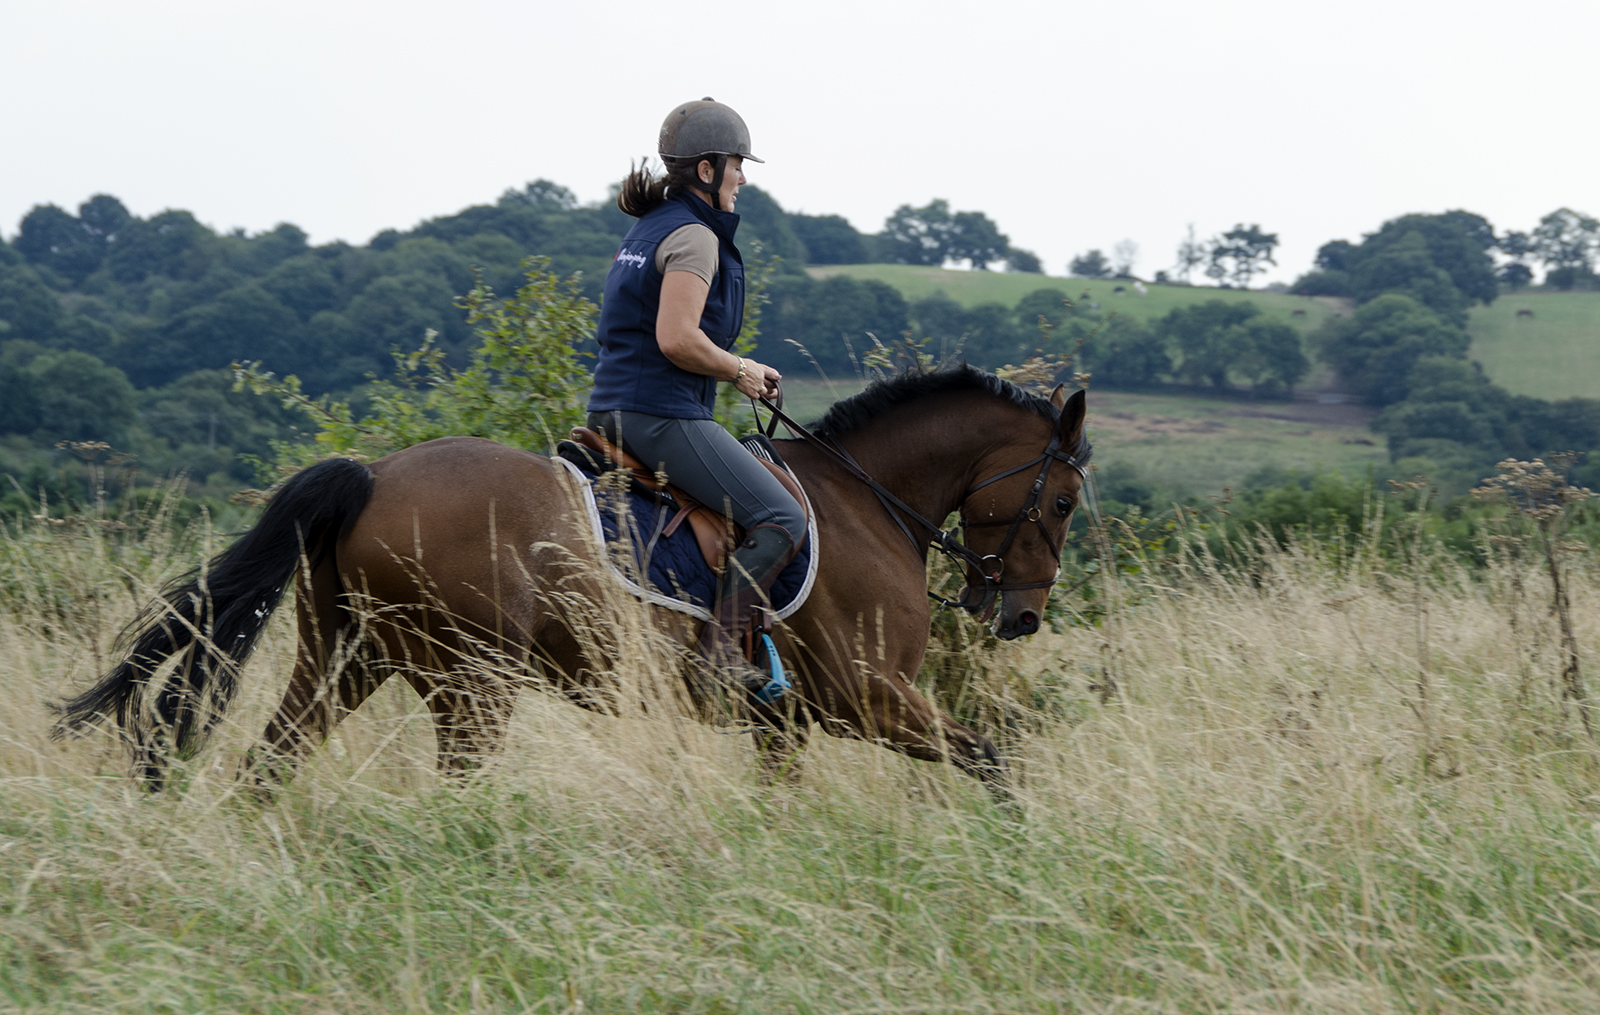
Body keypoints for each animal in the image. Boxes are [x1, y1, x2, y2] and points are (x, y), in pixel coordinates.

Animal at [56, 363, 1094, 797]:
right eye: (1062, 500)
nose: (1022, 617)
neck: (862, 499)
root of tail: (372, 477)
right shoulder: (872, 698)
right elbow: (994, 759)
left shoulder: (787, 724)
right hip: (471, 683)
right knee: (454, 791)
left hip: (348, 658)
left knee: (269, 765)